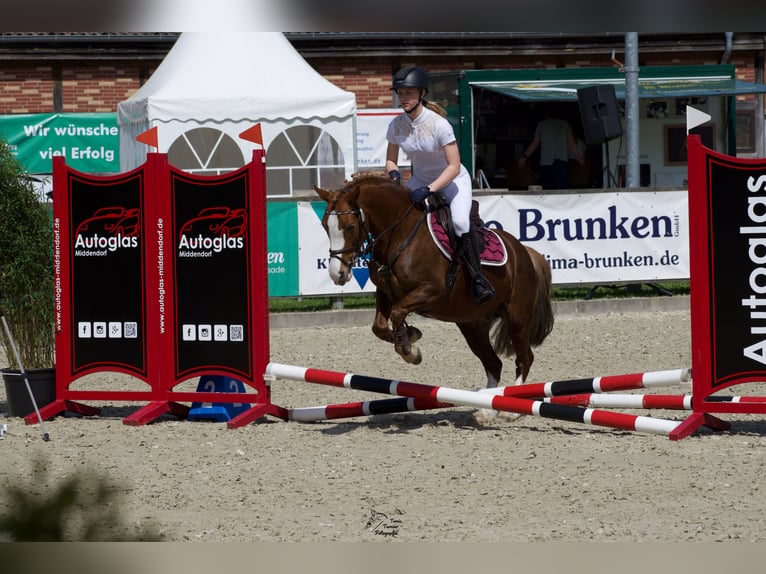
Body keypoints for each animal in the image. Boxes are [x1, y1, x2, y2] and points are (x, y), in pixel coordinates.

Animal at [316, 173, 556, 394]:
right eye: (324, 226)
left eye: (349, 227)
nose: (337, 274)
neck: (400, 234)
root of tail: (525, 252)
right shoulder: (385, 292)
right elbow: (380, 326)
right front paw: (409, 336)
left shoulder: (433, 291)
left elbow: (397, 312)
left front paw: (410, 350)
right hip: (472, 324)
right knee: (493, 364)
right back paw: (485, 409)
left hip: (517, 317)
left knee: (524, 359)